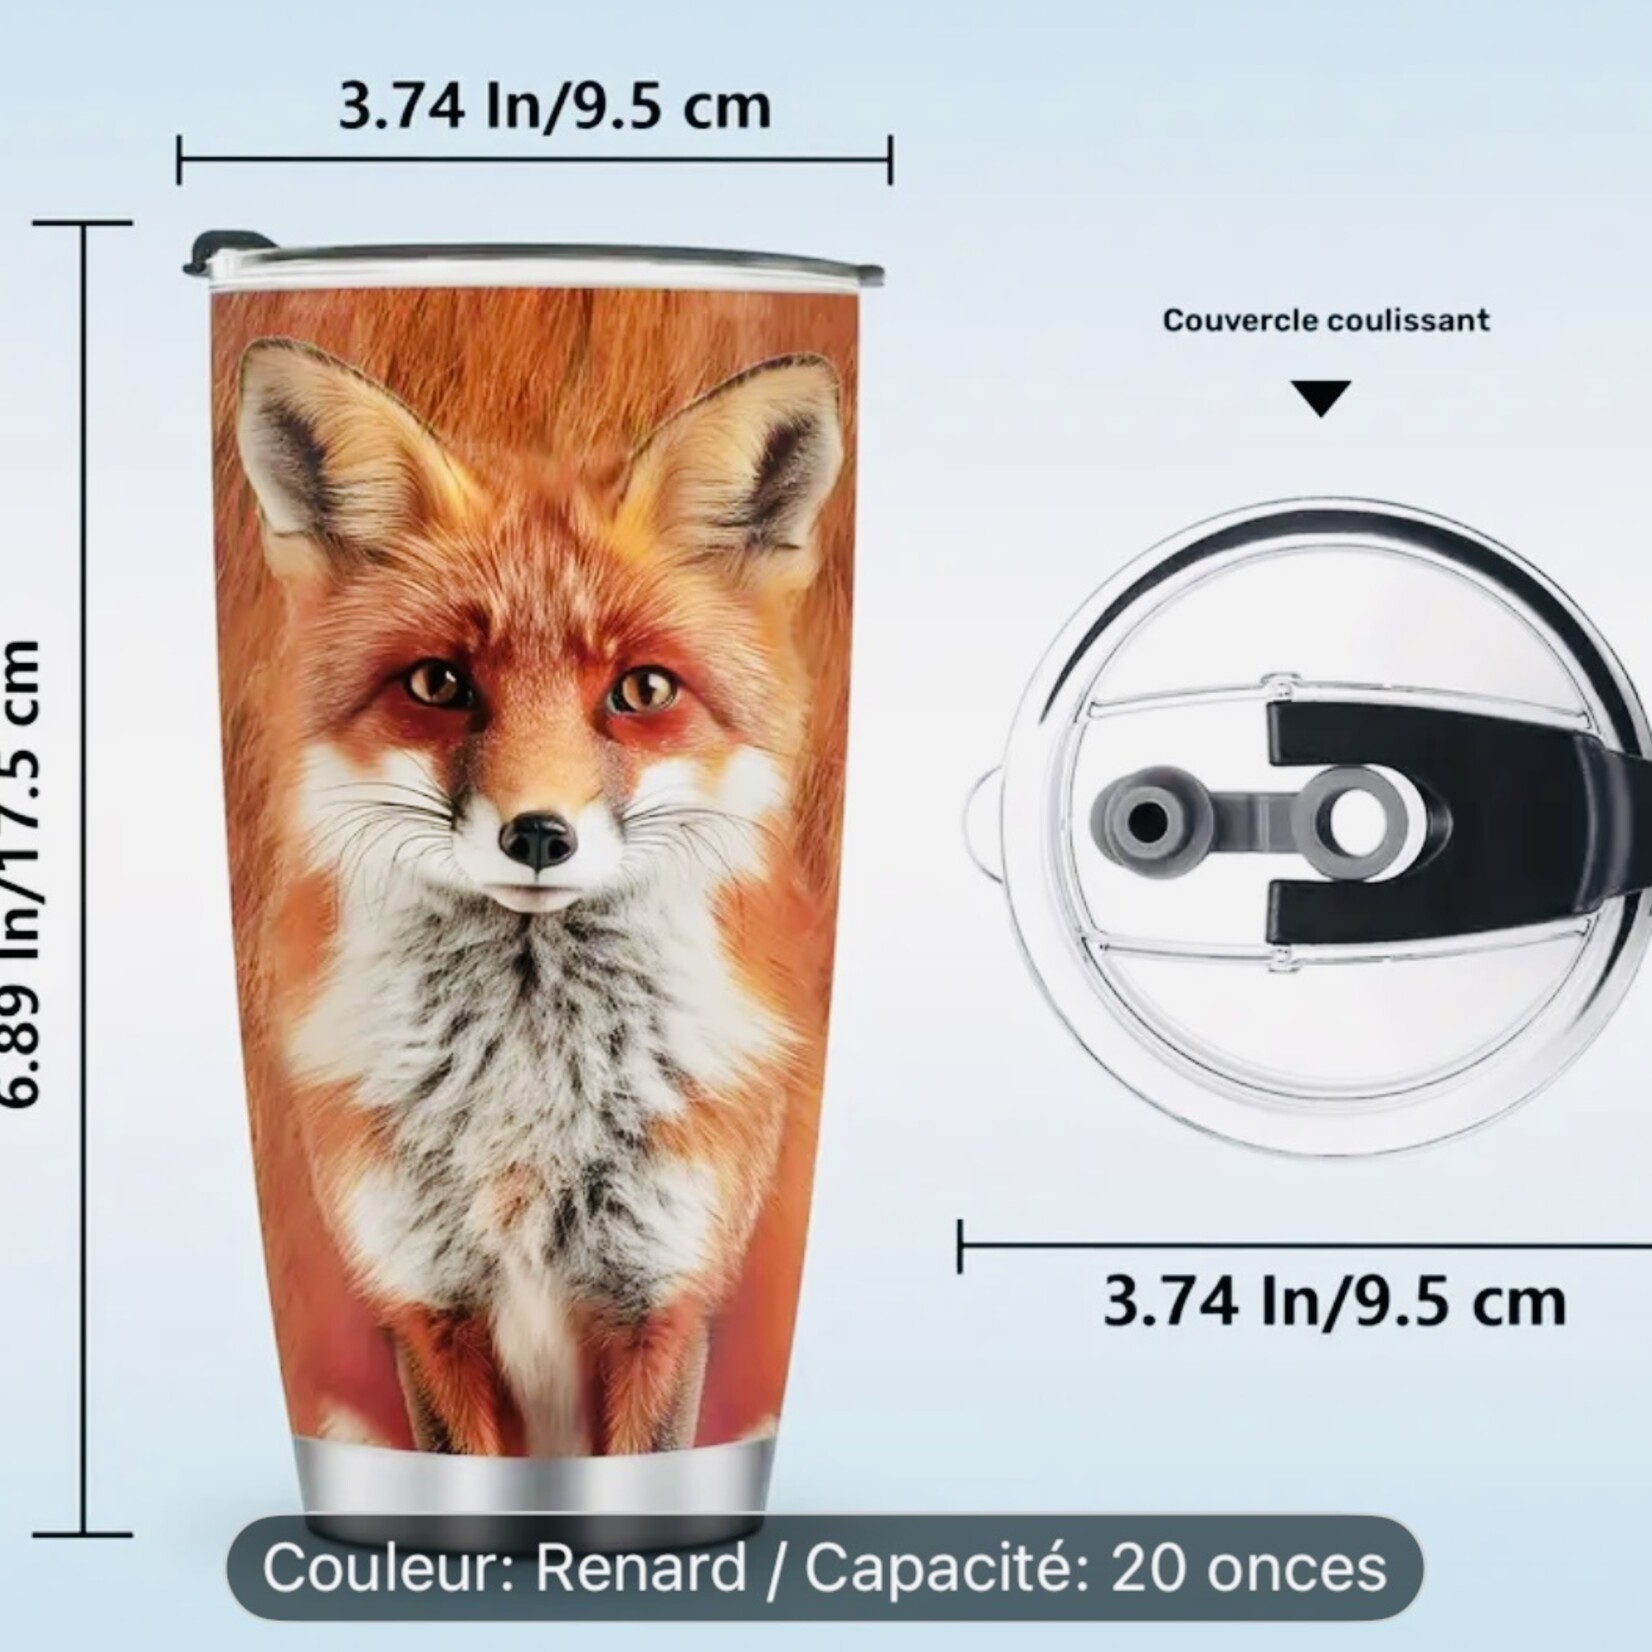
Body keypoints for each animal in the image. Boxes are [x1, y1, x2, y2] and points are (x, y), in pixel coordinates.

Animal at [230, 333, 845, 1458]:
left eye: (642, 690)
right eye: (438, 683)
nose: (539, 835)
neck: (529, 1112)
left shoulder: (664, 1301)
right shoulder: (426, 1307)